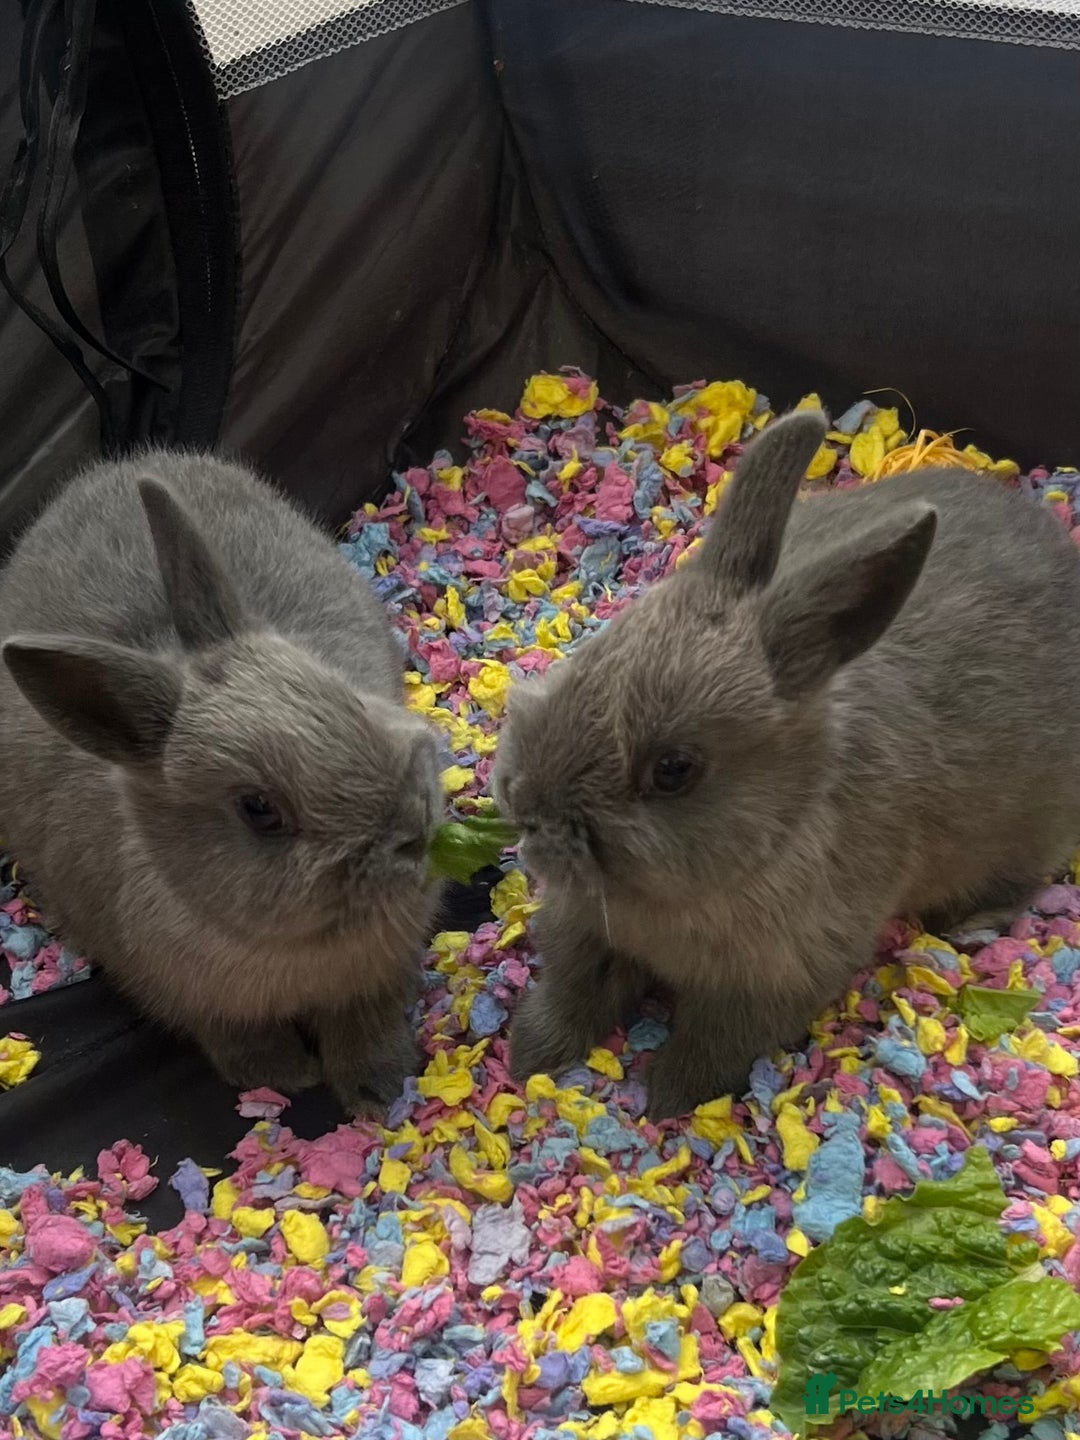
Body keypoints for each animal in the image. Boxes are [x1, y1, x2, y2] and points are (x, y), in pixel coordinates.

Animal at [0, 450, 444, 1114]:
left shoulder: (379, 974)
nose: (414, 833)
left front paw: (377, 1088)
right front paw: (285, 1074)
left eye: (347, 697)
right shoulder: (189, 997)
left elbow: (367, 1019)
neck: (290, 945)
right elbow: (237, 1034)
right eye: (258, 809)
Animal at [492, 409, 1080, 1120]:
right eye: (587, 658)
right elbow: (573, 991)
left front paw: (666, 1102)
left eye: (674, 769)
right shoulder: (587, 933)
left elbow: (712, 1045)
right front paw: (532, 1056)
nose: (529, 810)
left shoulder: (771, 982)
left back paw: (969, 929)